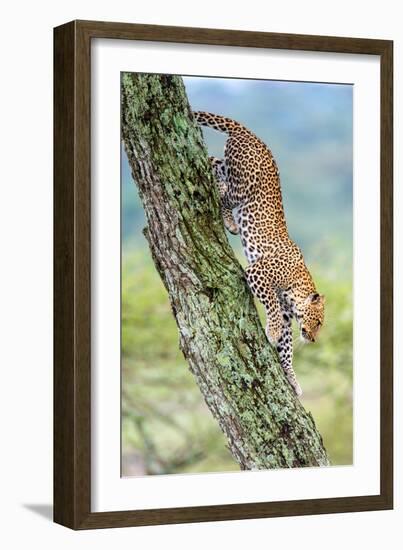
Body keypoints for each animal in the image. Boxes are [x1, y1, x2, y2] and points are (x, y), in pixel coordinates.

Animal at [194, 111, 326, 396]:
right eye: (320, 322)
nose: (312, 339)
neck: (298, 287)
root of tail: (252, 135)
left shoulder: (288, 315)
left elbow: (287, 348)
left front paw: (292, 378)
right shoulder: (258, 273)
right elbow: (273, 306)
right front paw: (272, 332)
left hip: (230, 166)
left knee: (213, 162)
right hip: (244, 184)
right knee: (223, 190)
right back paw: (230, 222)